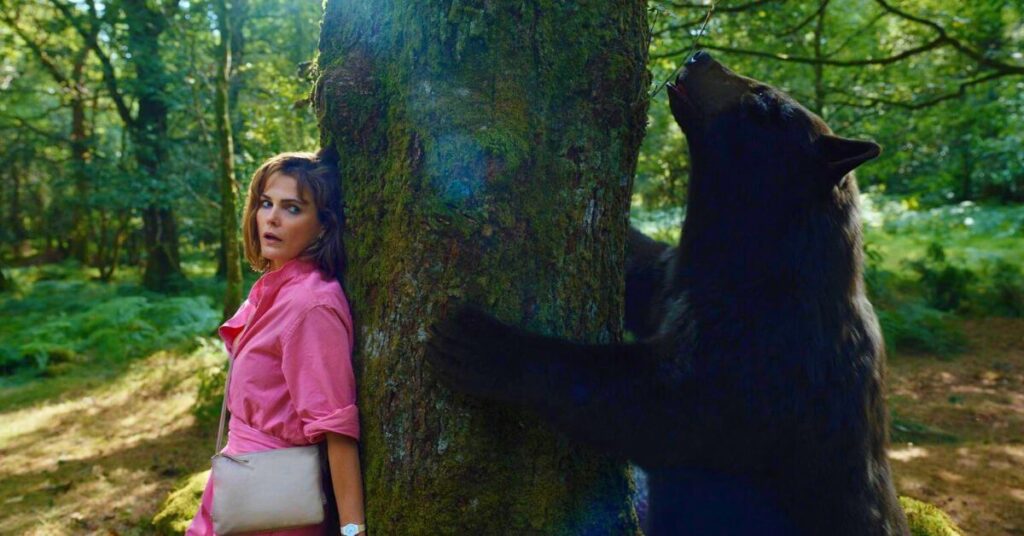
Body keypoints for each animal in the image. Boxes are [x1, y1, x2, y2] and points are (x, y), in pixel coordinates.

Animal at [426, 50, 909, 536]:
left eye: (762, 103)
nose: (700, 54)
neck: (754, 264)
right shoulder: (676, 279)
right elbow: (641, 270)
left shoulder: (765, 358)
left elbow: (655, 408)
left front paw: (484, 344)